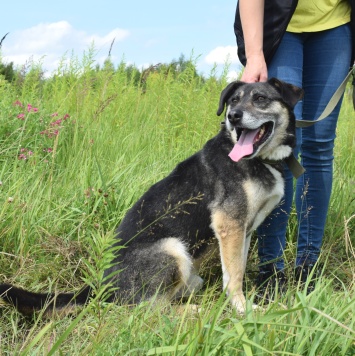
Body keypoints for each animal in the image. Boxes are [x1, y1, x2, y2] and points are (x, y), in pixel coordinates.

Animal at [0, 78, 304, 314]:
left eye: (261, 98)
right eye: (234, 102)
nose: (233, 117)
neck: (260, 159)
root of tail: (98, 286)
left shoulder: (243, 230)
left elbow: (235, 269)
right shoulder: (229, 225)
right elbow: (235, 276)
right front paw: (243, 310)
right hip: (173, 248)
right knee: (148, 311)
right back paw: (194, 312)